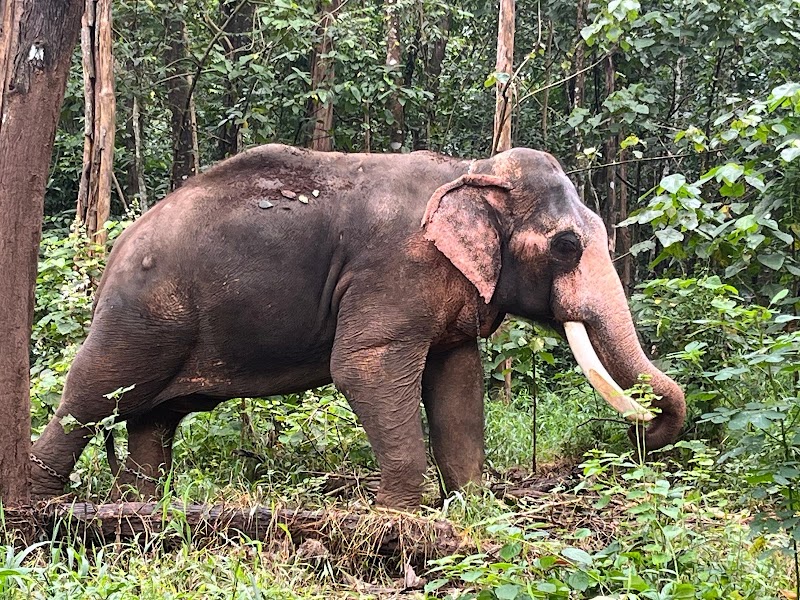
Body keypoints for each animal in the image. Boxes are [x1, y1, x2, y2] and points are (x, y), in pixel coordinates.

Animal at [30, 144, 686, 508]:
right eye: (567, 247)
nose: (642, 437)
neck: (468, 170)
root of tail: (114, 252)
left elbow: (457, 381)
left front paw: (473, 508)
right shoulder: (394, 270)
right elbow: (363, 366)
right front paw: (399, 514)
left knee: (154, 417)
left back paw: (142, 506)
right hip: (141, 313)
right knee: (91, 392)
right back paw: (39, 507)